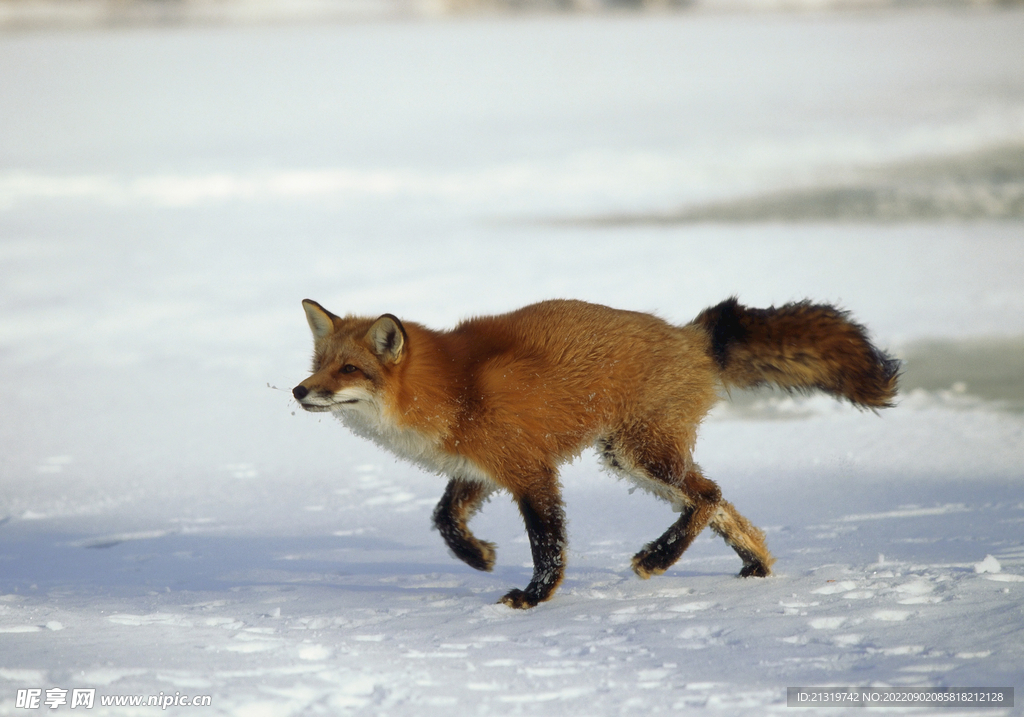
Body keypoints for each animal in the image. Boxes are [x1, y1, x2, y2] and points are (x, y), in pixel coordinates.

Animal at [290, 299, 897, 606]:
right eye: (319, 364)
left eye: (349, 369)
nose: (298, 391)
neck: (455, 387)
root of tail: (691, 334)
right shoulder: (484, 466)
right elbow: (444, 517)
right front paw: (477, 556)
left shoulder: (530, 470)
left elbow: (548, 545)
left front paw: (534, 597)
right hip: (632, 459)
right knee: (722, 506)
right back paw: (756, 565)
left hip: (643, 455)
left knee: (708, 496)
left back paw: (659, 557)